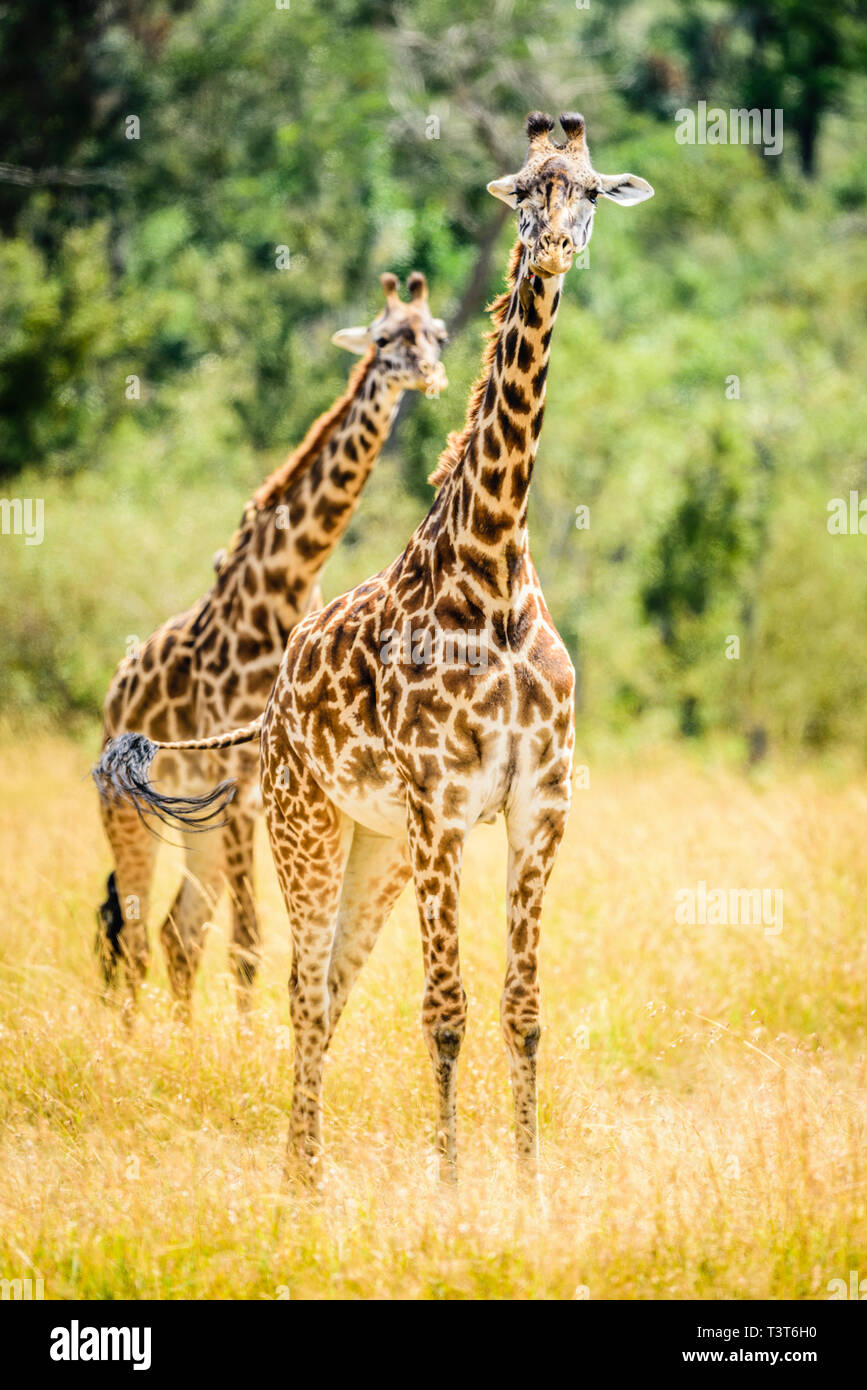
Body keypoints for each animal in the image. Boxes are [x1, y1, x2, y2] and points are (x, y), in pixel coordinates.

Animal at [95, 271, 448, 1019]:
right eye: (383, 337)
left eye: (434, 333)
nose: (428, 375)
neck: (286, 579)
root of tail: (114, 693)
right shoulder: (244, 783)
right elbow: (251, 943)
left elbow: (250, 941)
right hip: (128, 812)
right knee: (134, 936)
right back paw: (132, 1036)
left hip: (193, 822)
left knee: (176, 932)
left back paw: (180, 1033)